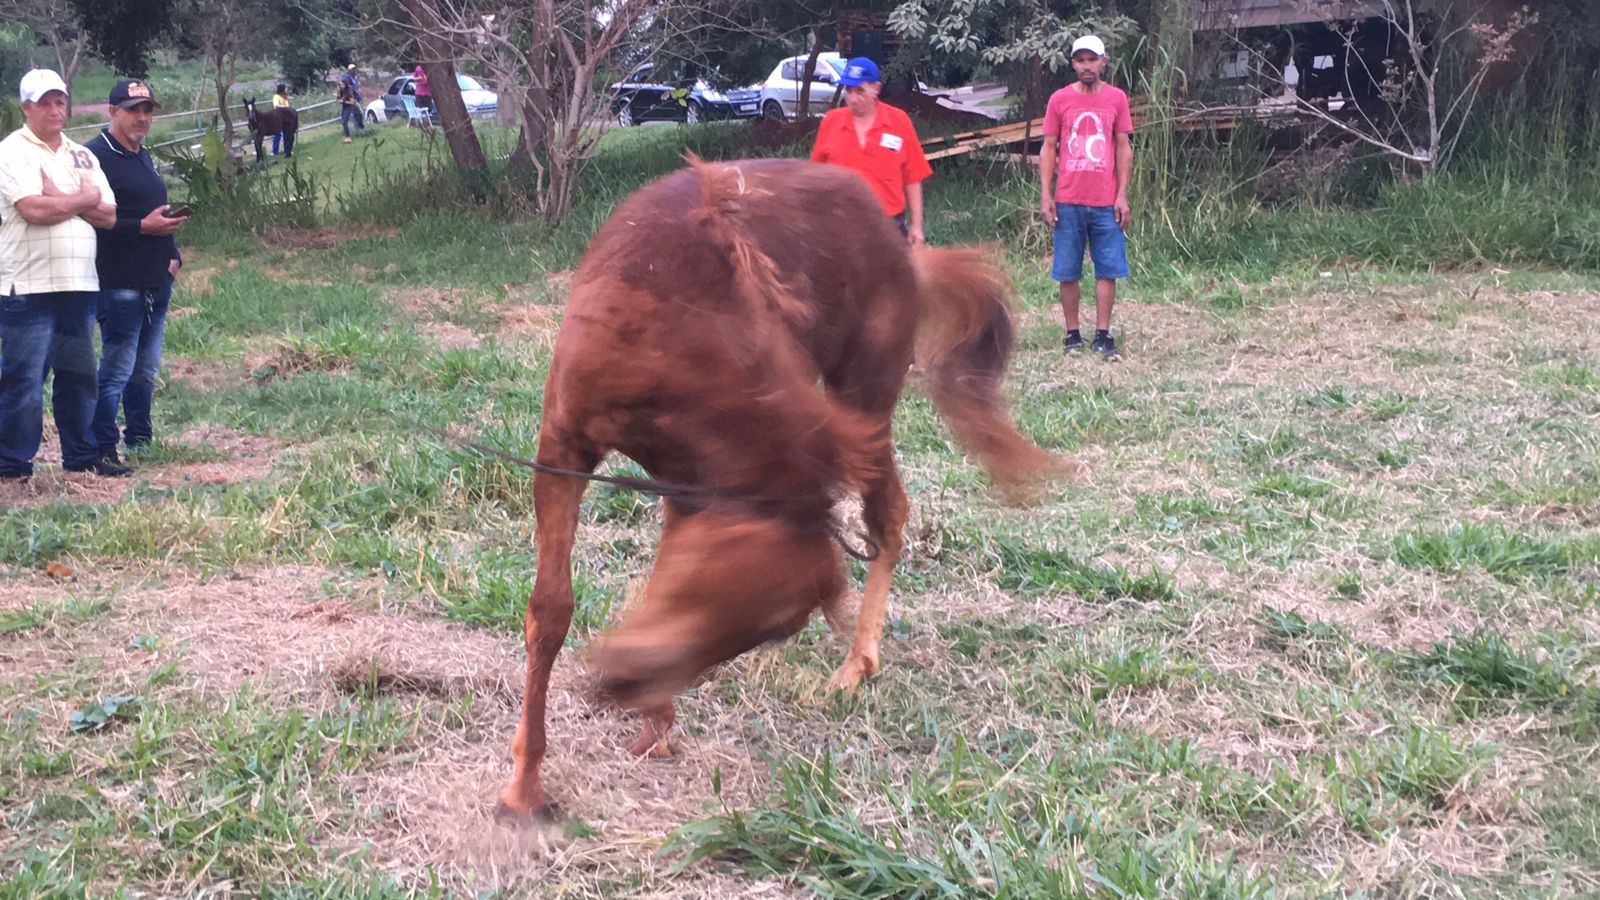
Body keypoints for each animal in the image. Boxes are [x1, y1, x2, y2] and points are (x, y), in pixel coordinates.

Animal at [492, 156, 1081, 819]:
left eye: (767, 627)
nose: (622, 683)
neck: (668, 328)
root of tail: (900, 245)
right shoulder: (567, 450)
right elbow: (552, 610)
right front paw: (526, 783)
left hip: (866, 393)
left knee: (888, 514)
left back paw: (858, 662)